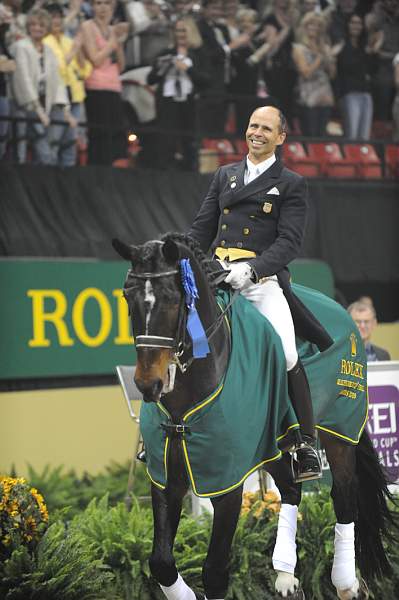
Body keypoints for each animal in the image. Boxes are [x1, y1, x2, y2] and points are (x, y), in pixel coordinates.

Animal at [114, 233, 398, 600]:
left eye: (172, 298)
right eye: (127, 297)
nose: (149, 384)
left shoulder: (228, 482)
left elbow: (215, 571)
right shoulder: (165, 476)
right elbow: (161, 562)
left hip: (339, 433)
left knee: (344, 495)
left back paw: (345, 581)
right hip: (271, 445)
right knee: (291, 489)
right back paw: (285, 576)